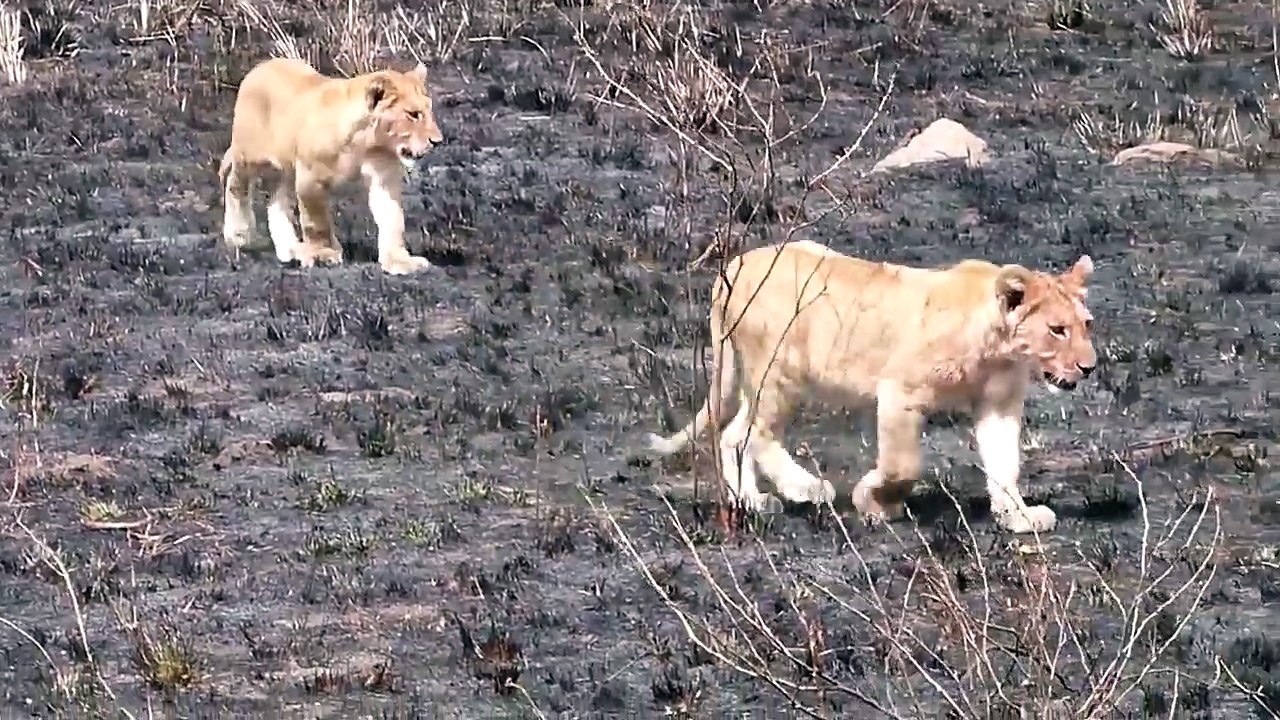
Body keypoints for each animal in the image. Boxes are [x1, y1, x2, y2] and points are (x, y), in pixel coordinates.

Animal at [218, 57, 444, 276]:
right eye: (413, 114)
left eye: (429, 111)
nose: (438, 141)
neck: (366, 143)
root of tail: (259, 67)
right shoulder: (310, 176)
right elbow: (317, 221)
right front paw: (323, 254)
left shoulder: (383, 178)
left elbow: (393, 220)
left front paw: (400, 261)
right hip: (250, 155)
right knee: (235, 183)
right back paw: (239, 234)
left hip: (287, 169)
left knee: (277, 200)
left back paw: (290, 249)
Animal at [645, 240, 1097, 534]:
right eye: (1057, 330)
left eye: (1086, 324)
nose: (1089, 367)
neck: (998, 349)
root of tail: (730, 269)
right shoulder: (900, 391)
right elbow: (903, 464)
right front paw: (874, 502)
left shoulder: (999, 404)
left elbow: (1005, 463)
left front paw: (1019, 517)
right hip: (780, 372)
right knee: (754, 434)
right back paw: (807, 488)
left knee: (732, 434)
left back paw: (752, 501)